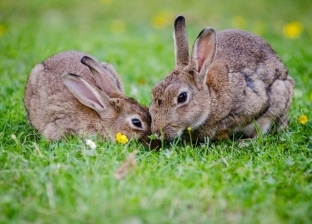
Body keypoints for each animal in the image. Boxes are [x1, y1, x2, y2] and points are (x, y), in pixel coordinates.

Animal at [150, 15, 294, 142]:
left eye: (182, 97)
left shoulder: (253, 105)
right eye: (154, 91)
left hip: (279, 95)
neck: (210, 98)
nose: (157, 132)